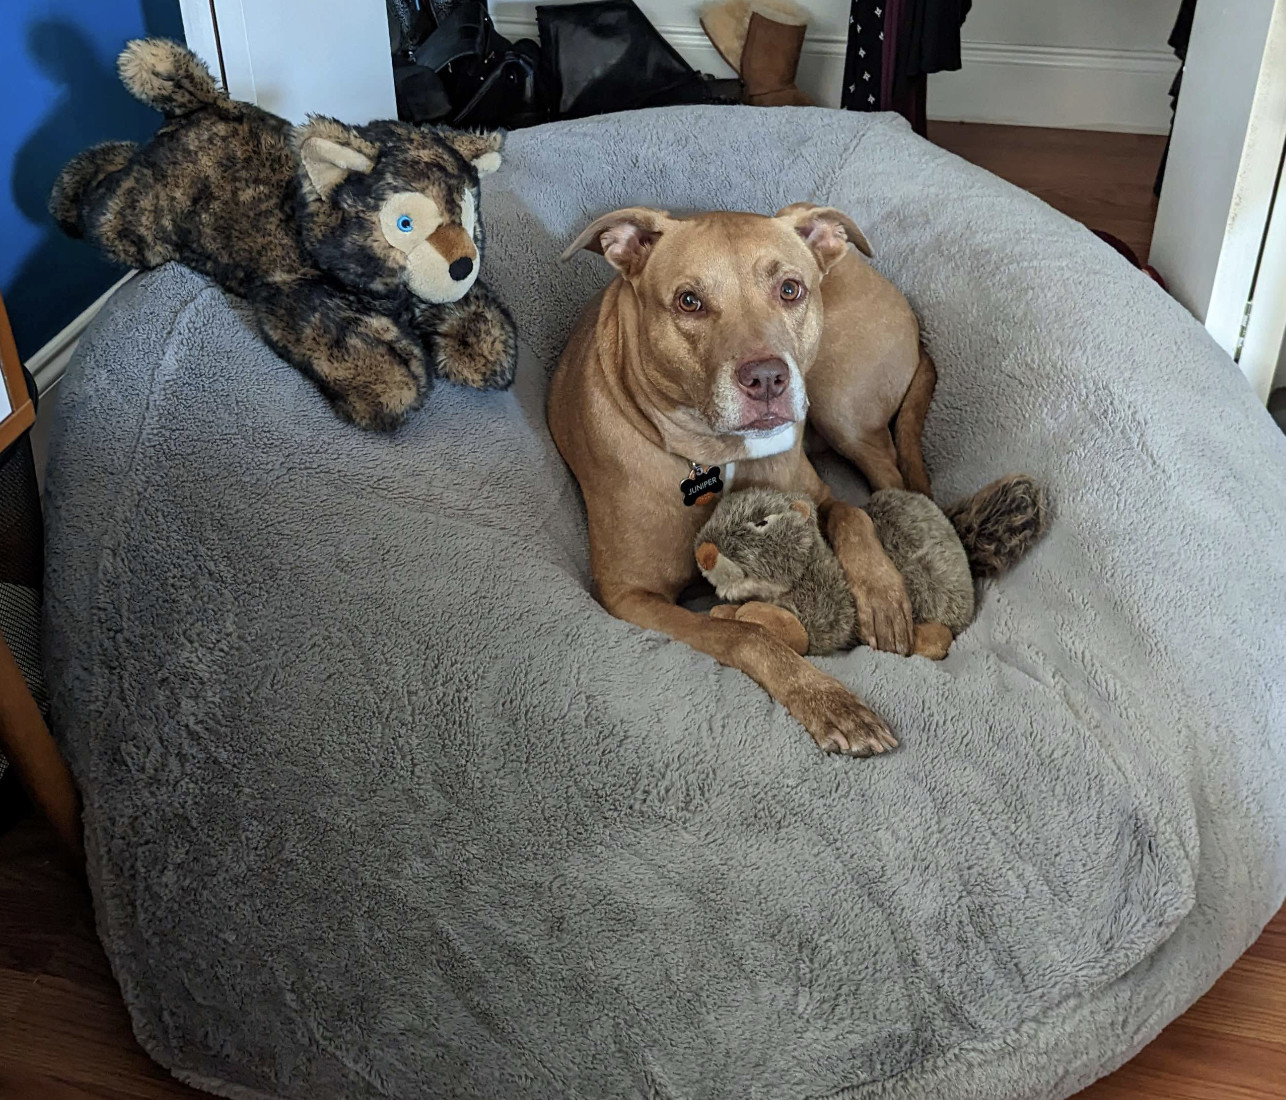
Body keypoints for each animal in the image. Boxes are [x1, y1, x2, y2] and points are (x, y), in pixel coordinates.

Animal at [550, 204, 936, 756]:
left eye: (790, 289)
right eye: (689, 301)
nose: (768, 378)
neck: (717, 457)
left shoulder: (816, 492)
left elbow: (852, 513)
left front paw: (883, 596)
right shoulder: (630, 596)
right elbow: (745, 635)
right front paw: (827, 700)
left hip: (842, 408)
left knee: (888, 482)